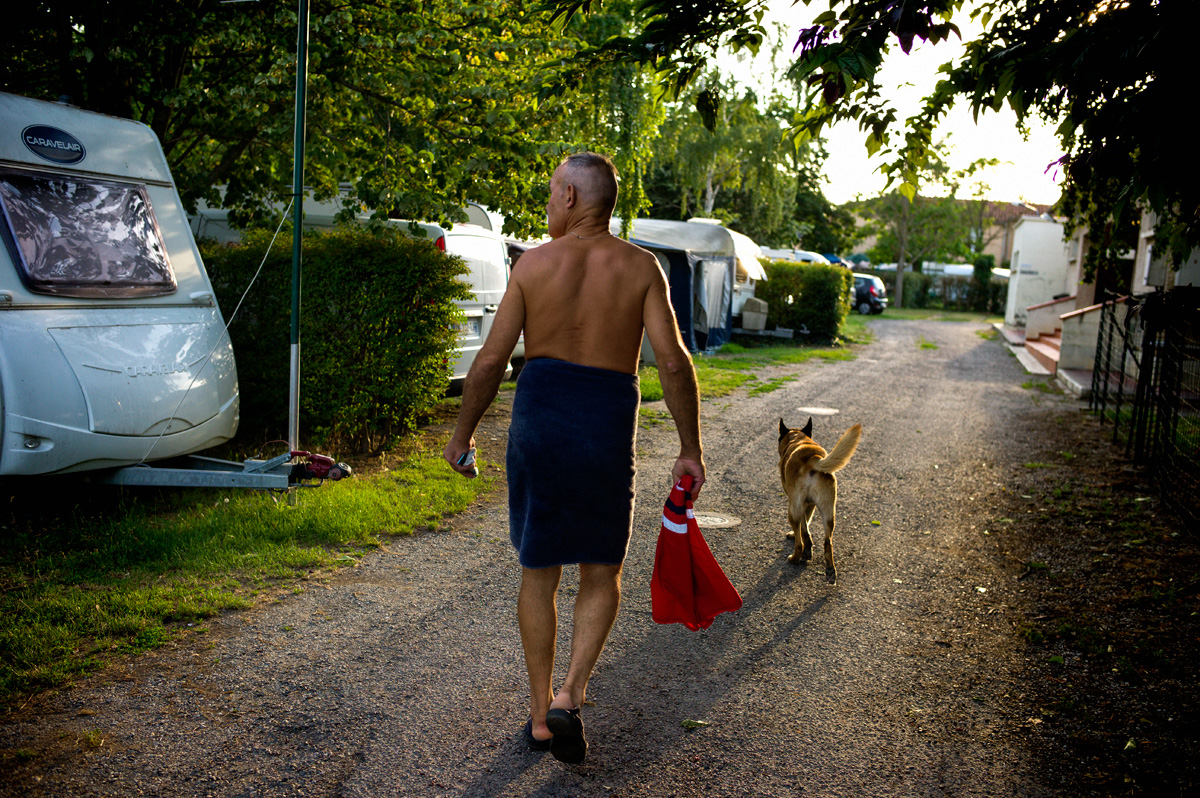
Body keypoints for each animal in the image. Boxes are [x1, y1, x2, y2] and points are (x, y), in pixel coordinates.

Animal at [777, 417, 864, 585]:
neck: (798, 439)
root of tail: (813, 459)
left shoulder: (800, 504)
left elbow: (803, 529)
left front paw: (800, 542)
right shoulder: (810, 505)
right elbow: (807, 525)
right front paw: (808, 548)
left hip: (793, 509)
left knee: (799, 542)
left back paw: (795, 557)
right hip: (829, 512)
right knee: (827, 543)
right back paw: (830, 571)